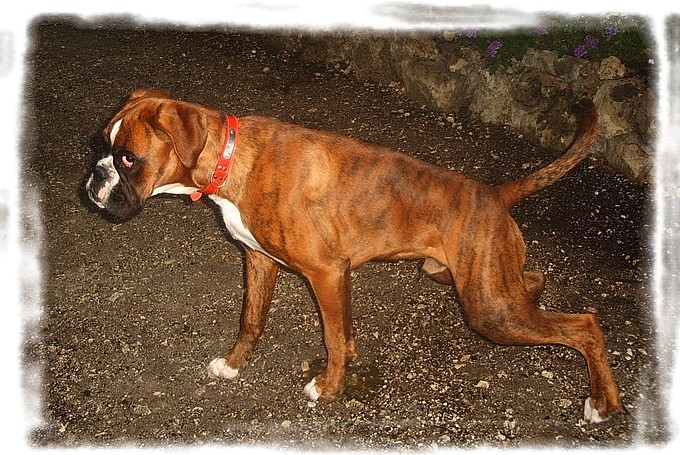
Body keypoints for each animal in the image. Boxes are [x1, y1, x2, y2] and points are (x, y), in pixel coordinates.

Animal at [86, 89, 621, 423]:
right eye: (100, 148)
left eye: (128, 158)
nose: (94, 179)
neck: (231, 159)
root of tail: (494, 194)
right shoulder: (259, 261)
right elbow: (253, 321)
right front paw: (235, 364)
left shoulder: (325, 272)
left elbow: (333, 336)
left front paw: (328, 387)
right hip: (467, 280)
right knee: (535, 280)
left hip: (489, 309)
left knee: (585, 325)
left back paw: (601, 402)